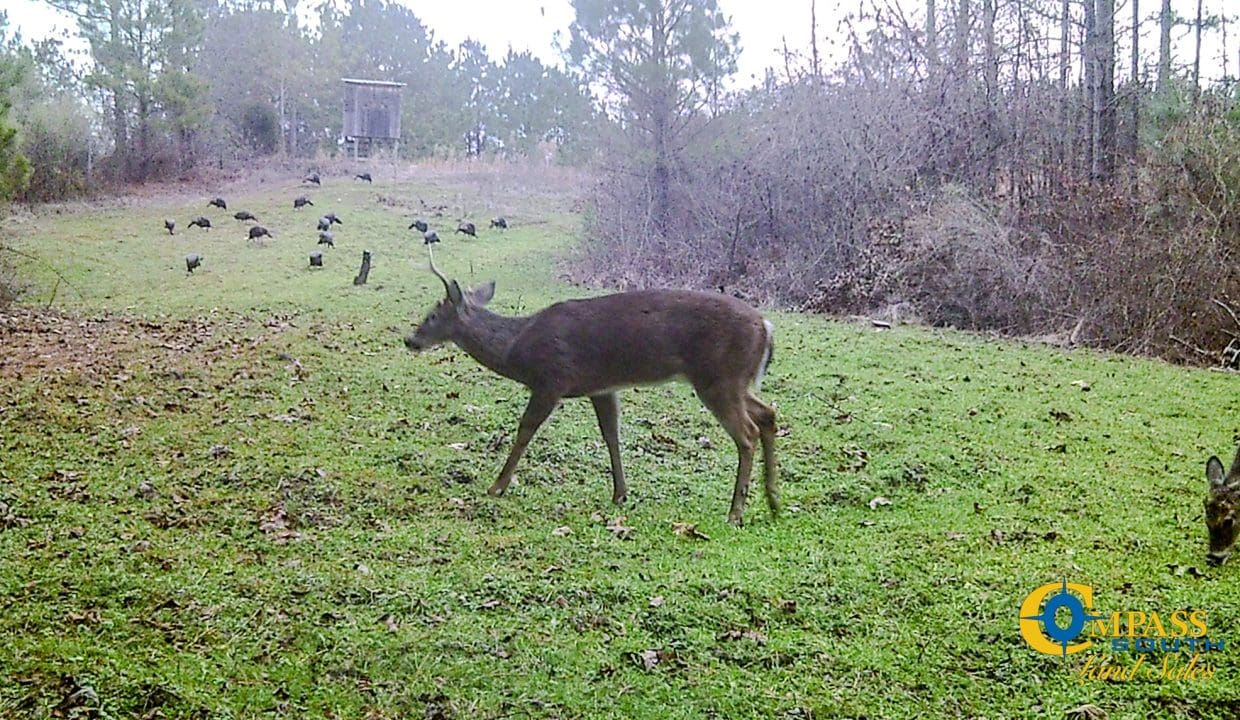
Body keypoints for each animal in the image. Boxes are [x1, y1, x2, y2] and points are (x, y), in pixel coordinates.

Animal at [406, 246, 773, 522]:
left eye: (433, 315)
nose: (411, 340)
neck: (517, 348)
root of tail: (767, 327)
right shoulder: (601, 388)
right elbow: (611, 434)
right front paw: (620, 493)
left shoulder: (552, 379)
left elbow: (526, 429)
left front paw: (497, 486)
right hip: (736, 381)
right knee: (768, 414)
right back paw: (772, 500)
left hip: (718, 377)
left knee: (748, 433)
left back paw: (736, 513)